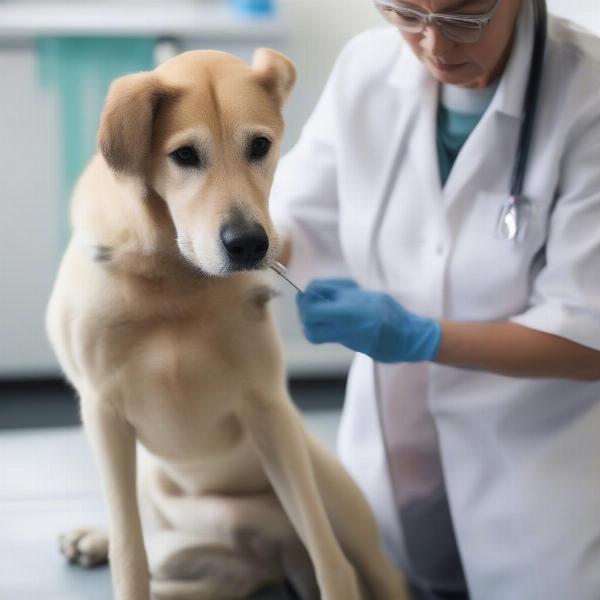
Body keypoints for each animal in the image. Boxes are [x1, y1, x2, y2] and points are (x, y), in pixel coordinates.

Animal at [47, 48, 408, 600]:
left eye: (260, 145)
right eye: (184, 155)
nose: (249, 244)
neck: (174, 275)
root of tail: (266, 554)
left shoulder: (267, 409)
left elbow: (332, 562)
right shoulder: (104, 415)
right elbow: (131, 559)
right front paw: (112, 546)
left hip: (329, 488)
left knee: (374, 568)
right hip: (166, 509)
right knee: (162, 549)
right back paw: (98, 537)